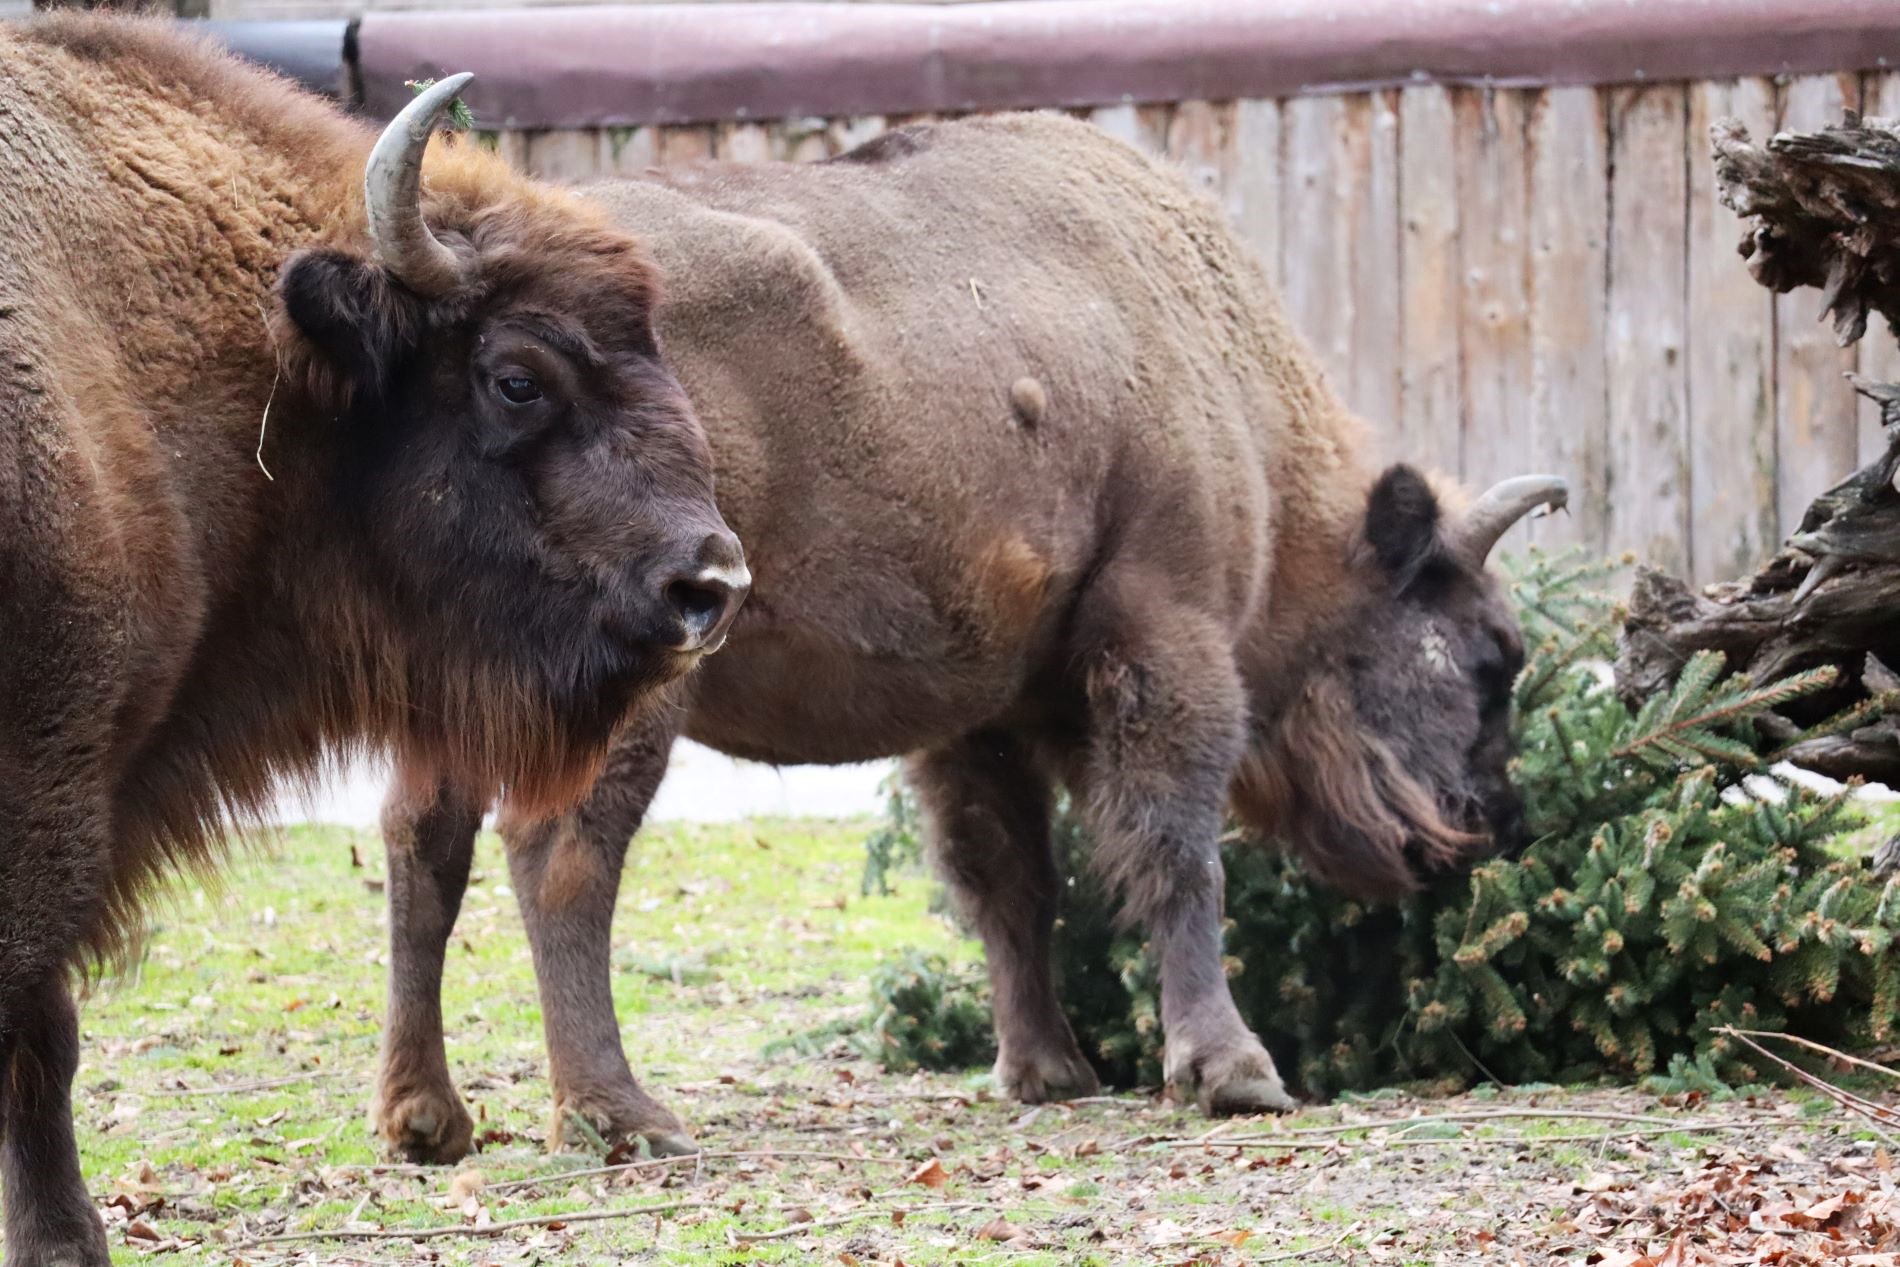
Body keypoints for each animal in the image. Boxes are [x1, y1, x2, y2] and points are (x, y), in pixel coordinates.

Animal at [366, 113, 1558, 1162]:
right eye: (1490, 656)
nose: (1492, 822)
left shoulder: (979, 713)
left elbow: (1008, 880)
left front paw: (1047, 1069)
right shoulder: (1167, 629)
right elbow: (1176, 848)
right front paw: (1232, 1072)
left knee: (423, 842)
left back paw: (425, 1121)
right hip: (632, 680)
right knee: (561, 851)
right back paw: (623, 1118)